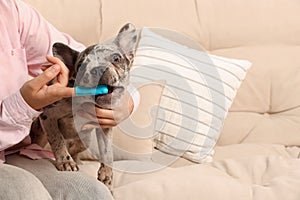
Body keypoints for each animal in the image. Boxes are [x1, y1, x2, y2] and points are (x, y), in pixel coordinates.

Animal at [29, 23, 138, 191]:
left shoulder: (105, 127)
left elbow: (107, 152)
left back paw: (77, 159)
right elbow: (57, 139)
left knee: (75, 149)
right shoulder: (48, 116)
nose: (98, 69)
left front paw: (107, 175)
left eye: (116, 58)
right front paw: (65, 161)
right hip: (39, 135)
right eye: (81, 65)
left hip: (85, 140)